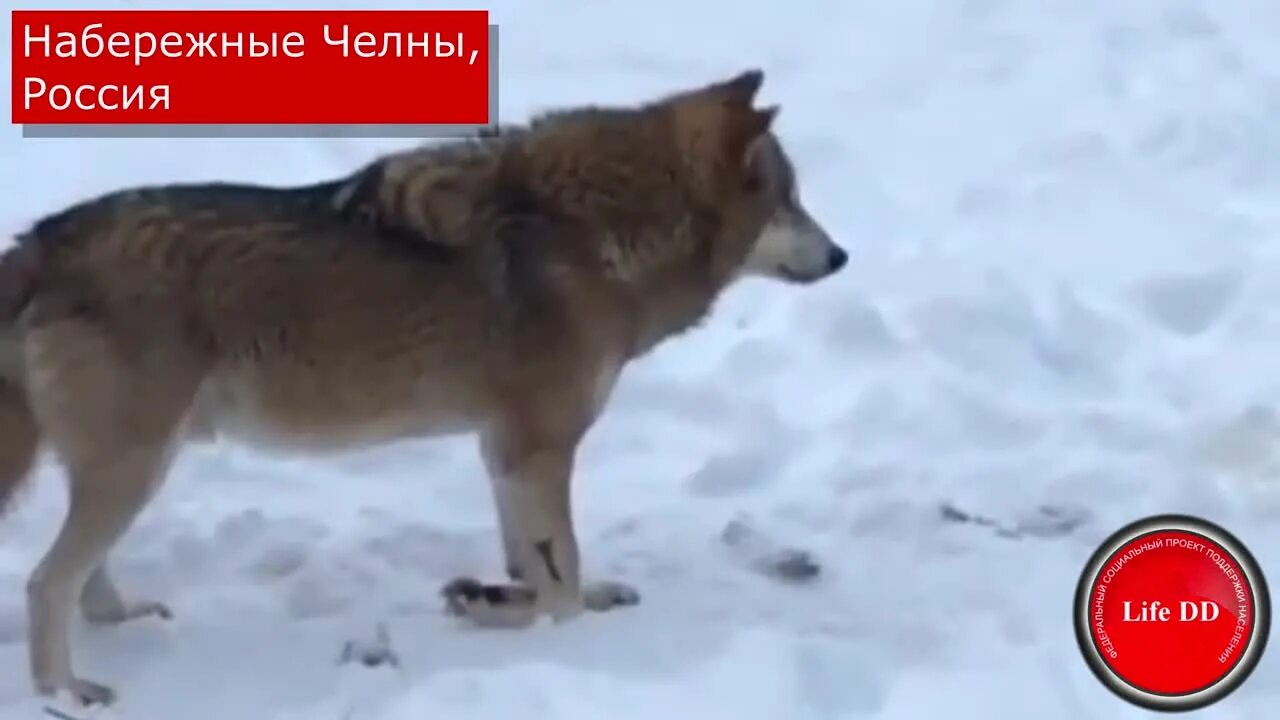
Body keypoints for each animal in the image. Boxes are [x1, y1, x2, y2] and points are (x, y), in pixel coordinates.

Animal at [0, 69, 846, 706]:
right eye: (789, 200)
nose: (841, 256)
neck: (594, 233)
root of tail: (37, 243)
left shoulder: (505, 449)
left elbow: (538, 564)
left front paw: (497, 596)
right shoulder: (538, 448)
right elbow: (560, 584)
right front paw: (534, 620)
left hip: (134, 468)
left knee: (82, 578)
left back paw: (121, 619)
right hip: (136, 468)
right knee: (46, 581)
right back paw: (66, 694)